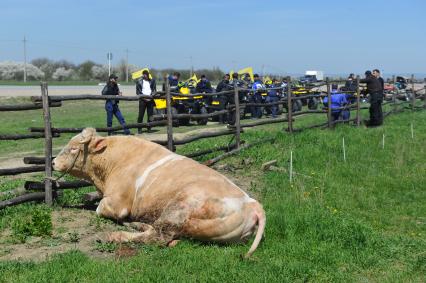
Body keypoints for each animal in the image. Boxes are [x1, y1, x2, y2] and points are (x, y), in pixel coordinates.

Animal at [52, 128, 266, 258]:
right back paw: (137, 224)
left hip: (178, 210)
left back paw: (115, 234)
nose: (53, 162)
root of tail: (254, 204)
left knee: (158, 238)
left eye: (73, 149)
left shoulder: (116, 203)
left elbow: (99, 209)